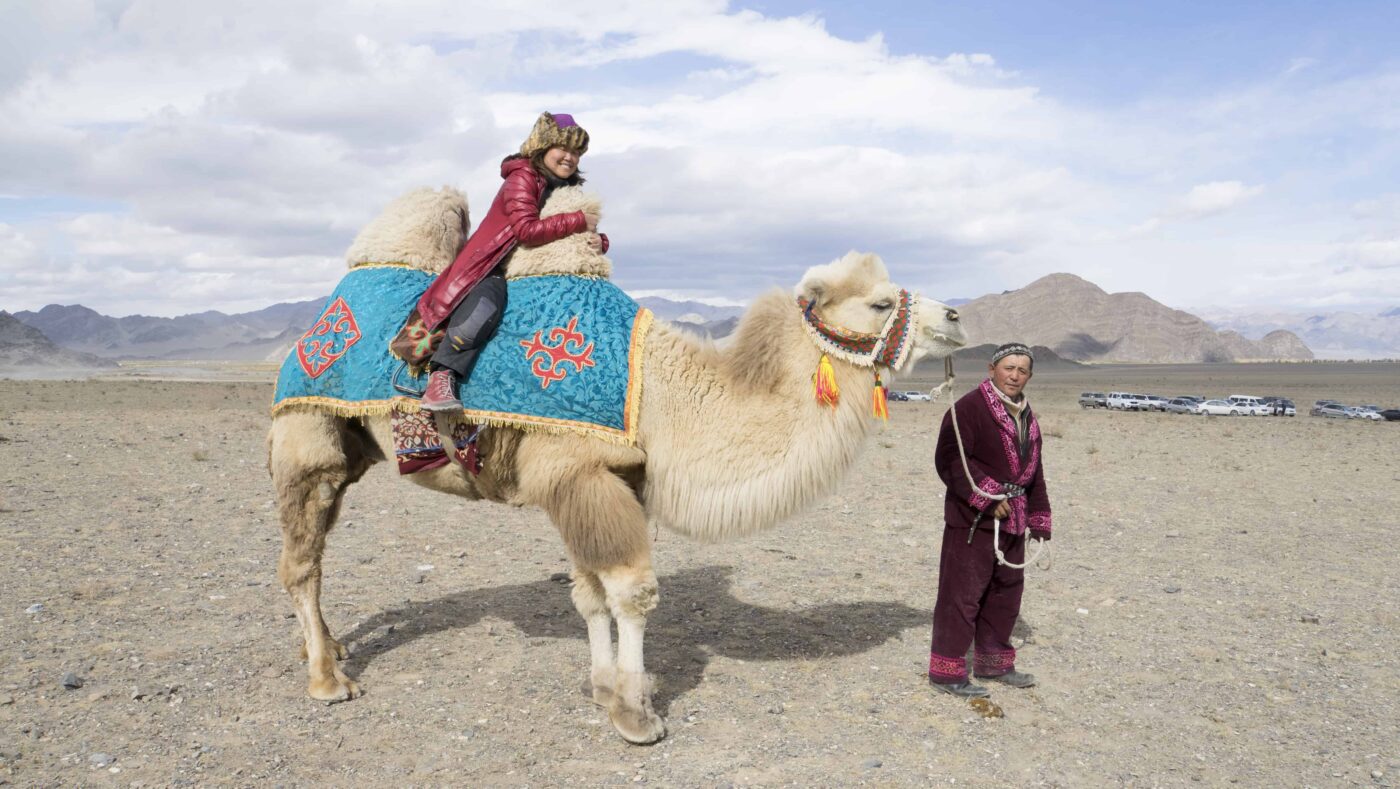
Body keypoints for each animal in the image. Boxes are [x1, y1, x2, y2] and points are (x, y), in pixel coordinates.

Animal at [267, 187, 968, 744]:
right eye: (879, 303)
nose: (957, 317)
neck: (659, 397)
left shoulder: (594, 481)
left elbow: (591, 595)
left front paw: (604, 690)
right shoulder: (582, 475)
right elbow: (632, 593)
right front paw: (636, 715)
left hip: (350, 451)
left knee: (315, 552)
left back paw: (328, 647)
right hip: (307, 437)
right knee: (301, 564)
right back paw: (328, 679)